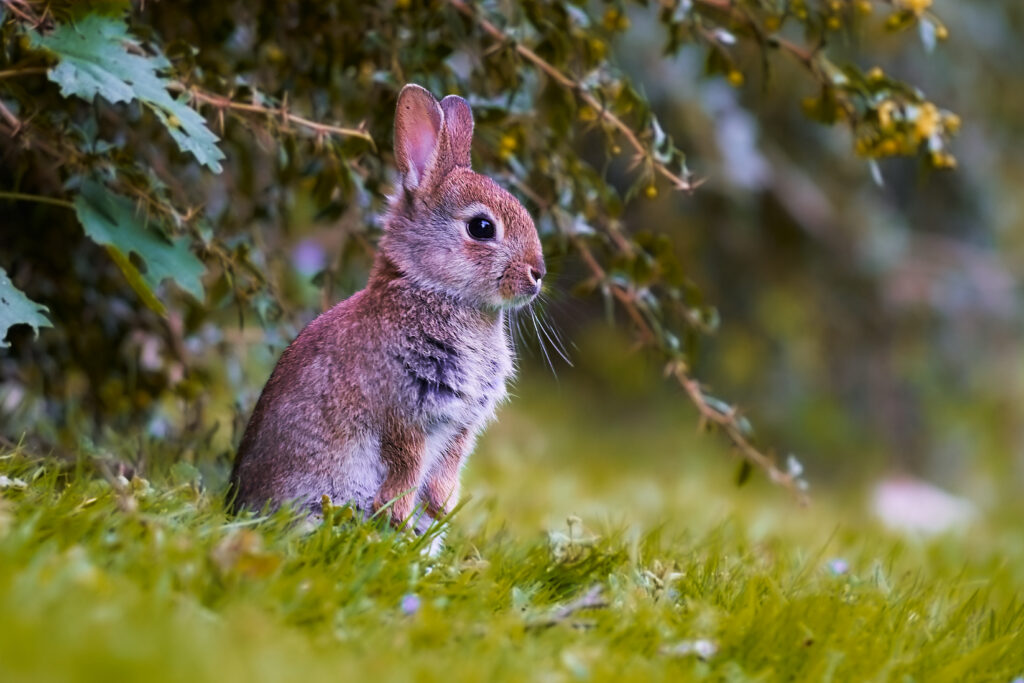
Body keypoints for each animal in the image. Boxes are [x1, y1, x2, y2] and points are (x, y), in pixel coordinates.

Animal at [228, 84, 545, 535]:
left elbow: (447, 466)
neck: (436, 290)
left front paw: (440, 507)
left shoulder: (460, 427)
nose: (538, 273)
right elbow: (406, 463)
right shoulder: (402, 413)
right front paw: (398, 512)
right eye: (482, 228)